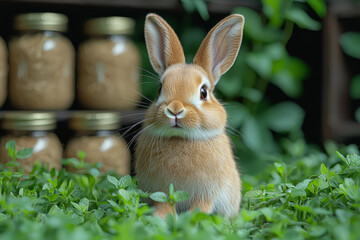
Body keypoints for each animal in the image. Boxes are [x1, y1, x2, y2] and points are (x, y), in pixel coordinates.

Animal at [134, 13, 245, 219]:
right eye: (160, 89)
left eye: (203, 92)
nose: (175, 109)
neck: (180, 139)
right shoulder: (161, 192)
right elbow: (164, 205)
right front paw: (161, 218)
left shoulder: (207, 194)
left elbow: (201, 207)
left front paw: (193, 219)